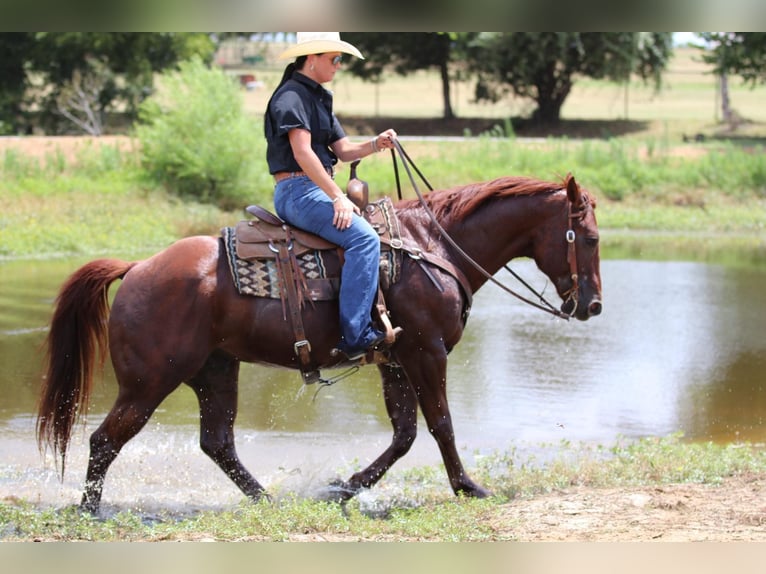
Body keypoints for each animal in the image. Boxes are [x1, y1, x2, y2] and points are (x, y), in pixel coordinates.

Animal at [37, 171, 608, 512]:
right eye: (592, 238)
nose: (593, 305)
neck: (433, 247)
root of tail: (136, 268)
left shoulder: (395, 360)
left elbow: (404, 435)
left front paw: (342, 488)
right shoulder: (426, 353)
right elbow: (440, 425)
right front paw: (469, 487)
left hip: (215, 371)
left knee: (217, 442)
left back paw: (267, 500)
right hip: (149, 381)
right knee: (104, 440)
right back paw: (90, 510)